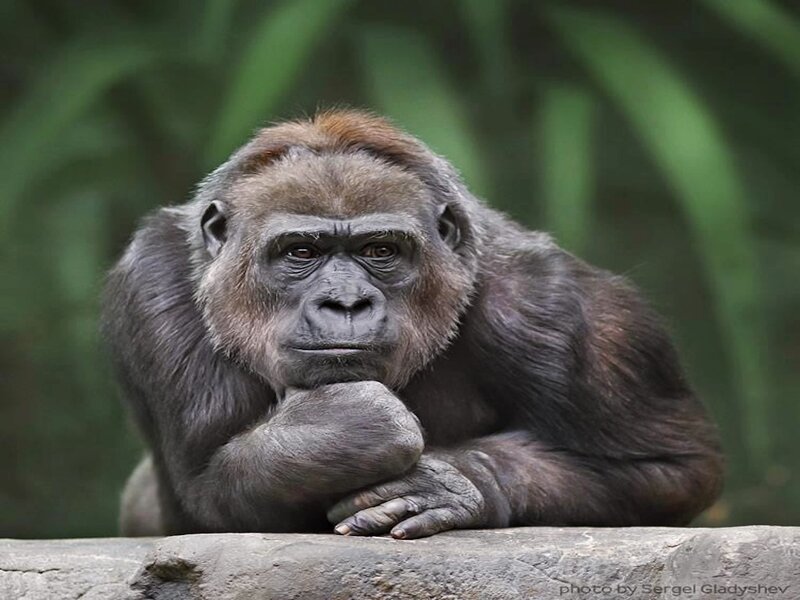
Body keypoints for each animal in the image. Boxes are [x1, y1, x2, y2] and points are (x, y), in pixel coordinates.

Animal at [103, 109, 723, 539]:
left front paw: (458, 480)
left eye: (380, 250)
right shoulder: (151, 277)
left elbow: (667, 470)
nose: (346, 303)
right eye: (301, 251)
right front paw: (342, 425)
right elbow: (205, 491)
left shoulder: (559, 307)